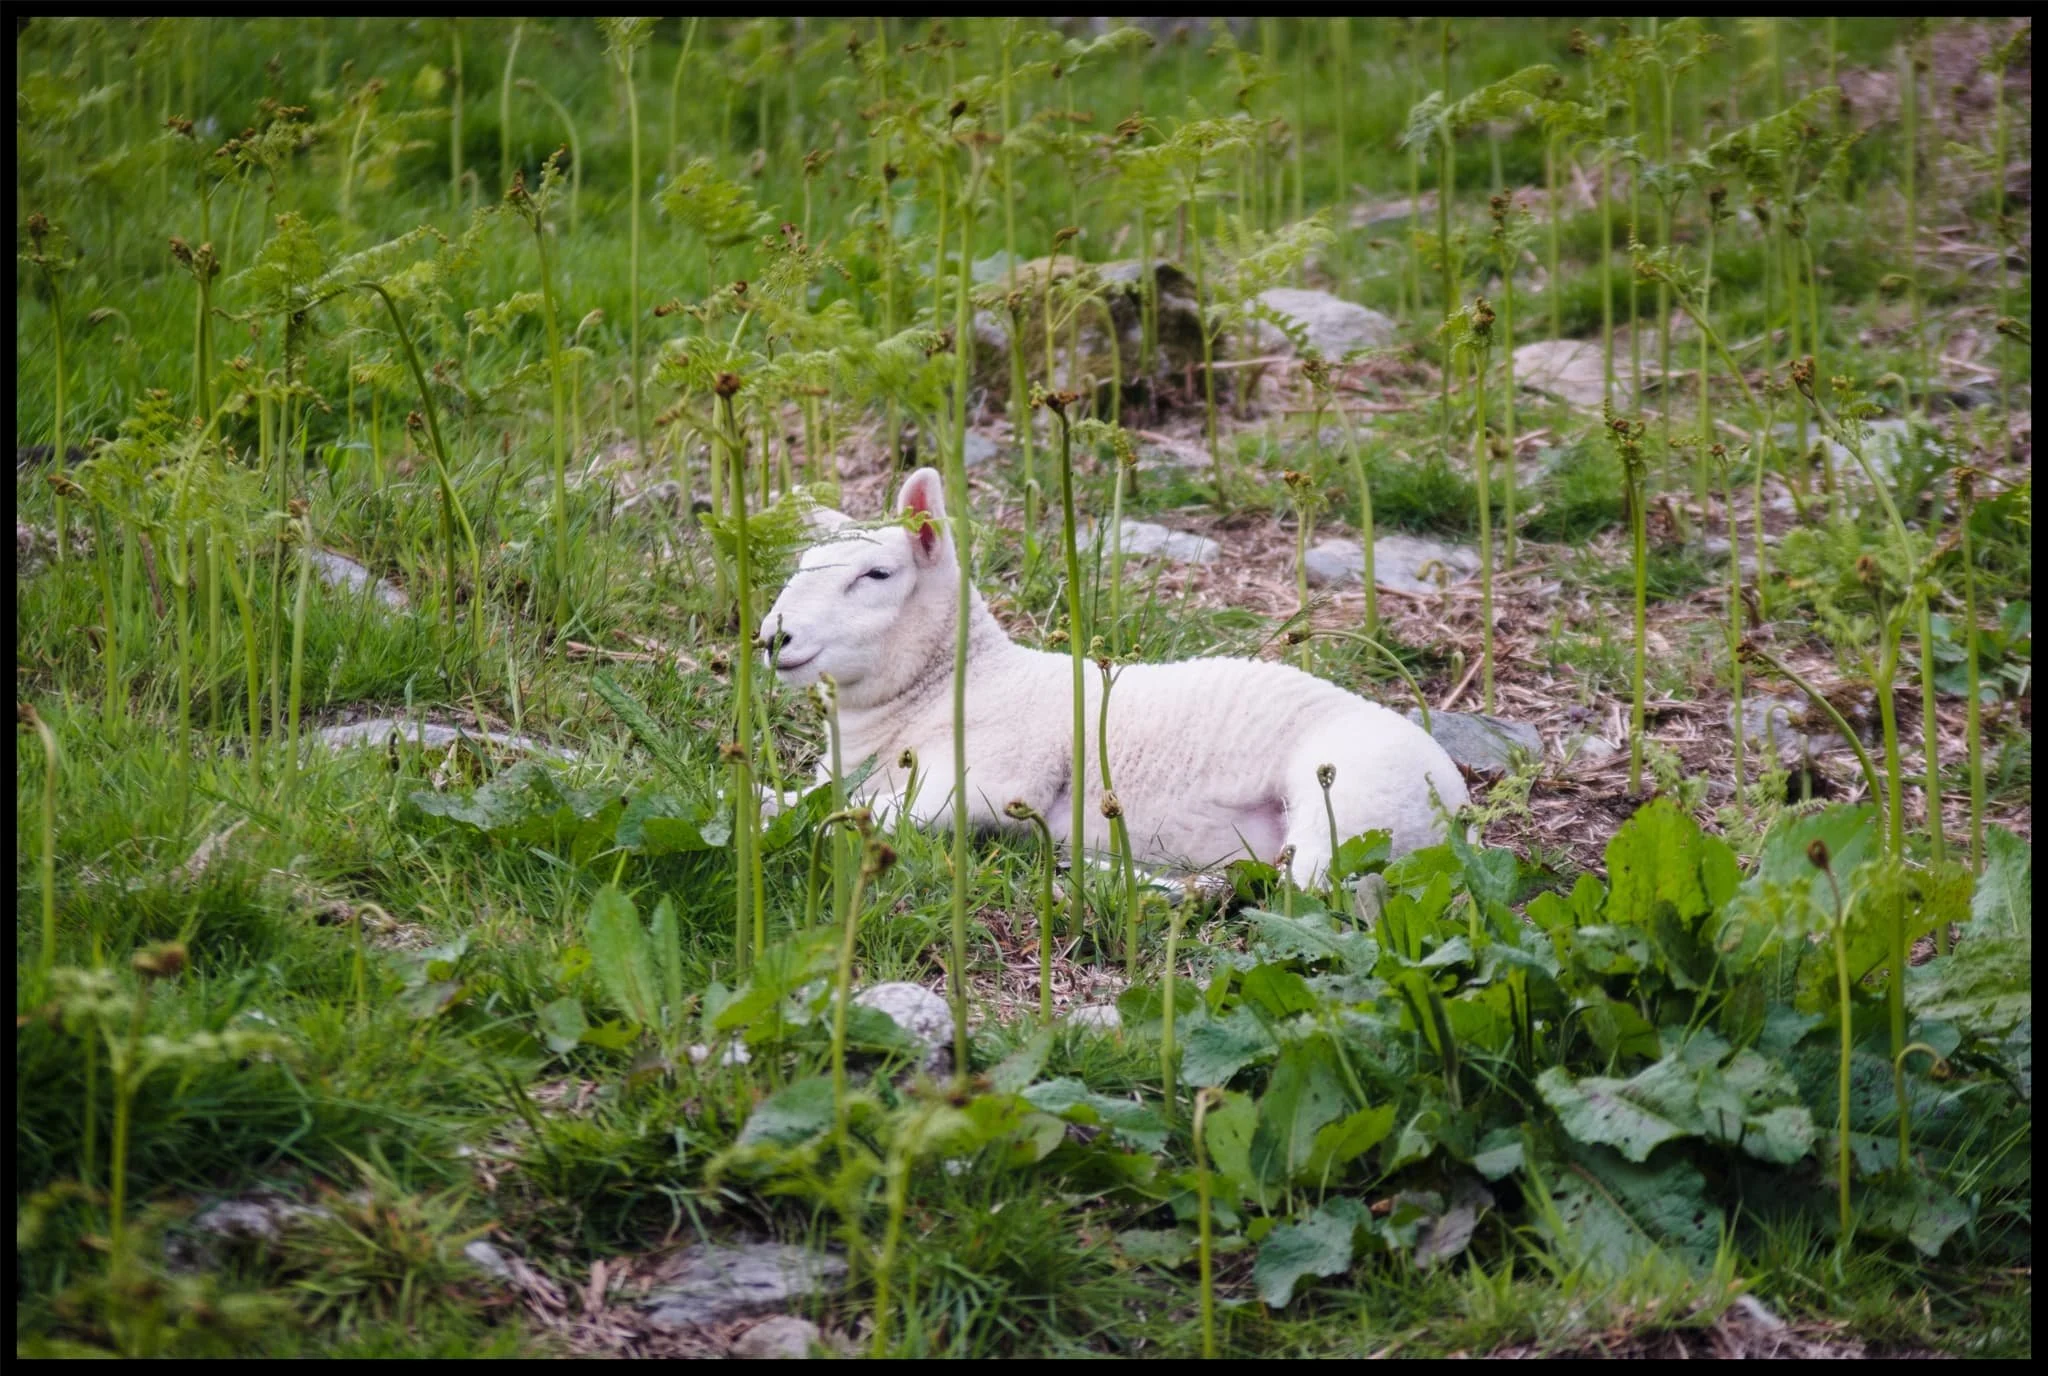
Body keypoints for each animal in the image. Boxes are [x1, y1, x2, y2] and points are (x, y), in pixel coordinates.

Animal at [757, 467, 1468, 884]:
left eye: (877, 575)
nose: (772, 638)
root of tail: (1457, 808)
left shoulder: (986, 782)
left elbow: (865, 813)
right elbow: (804, 800)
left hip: (1346, 809)